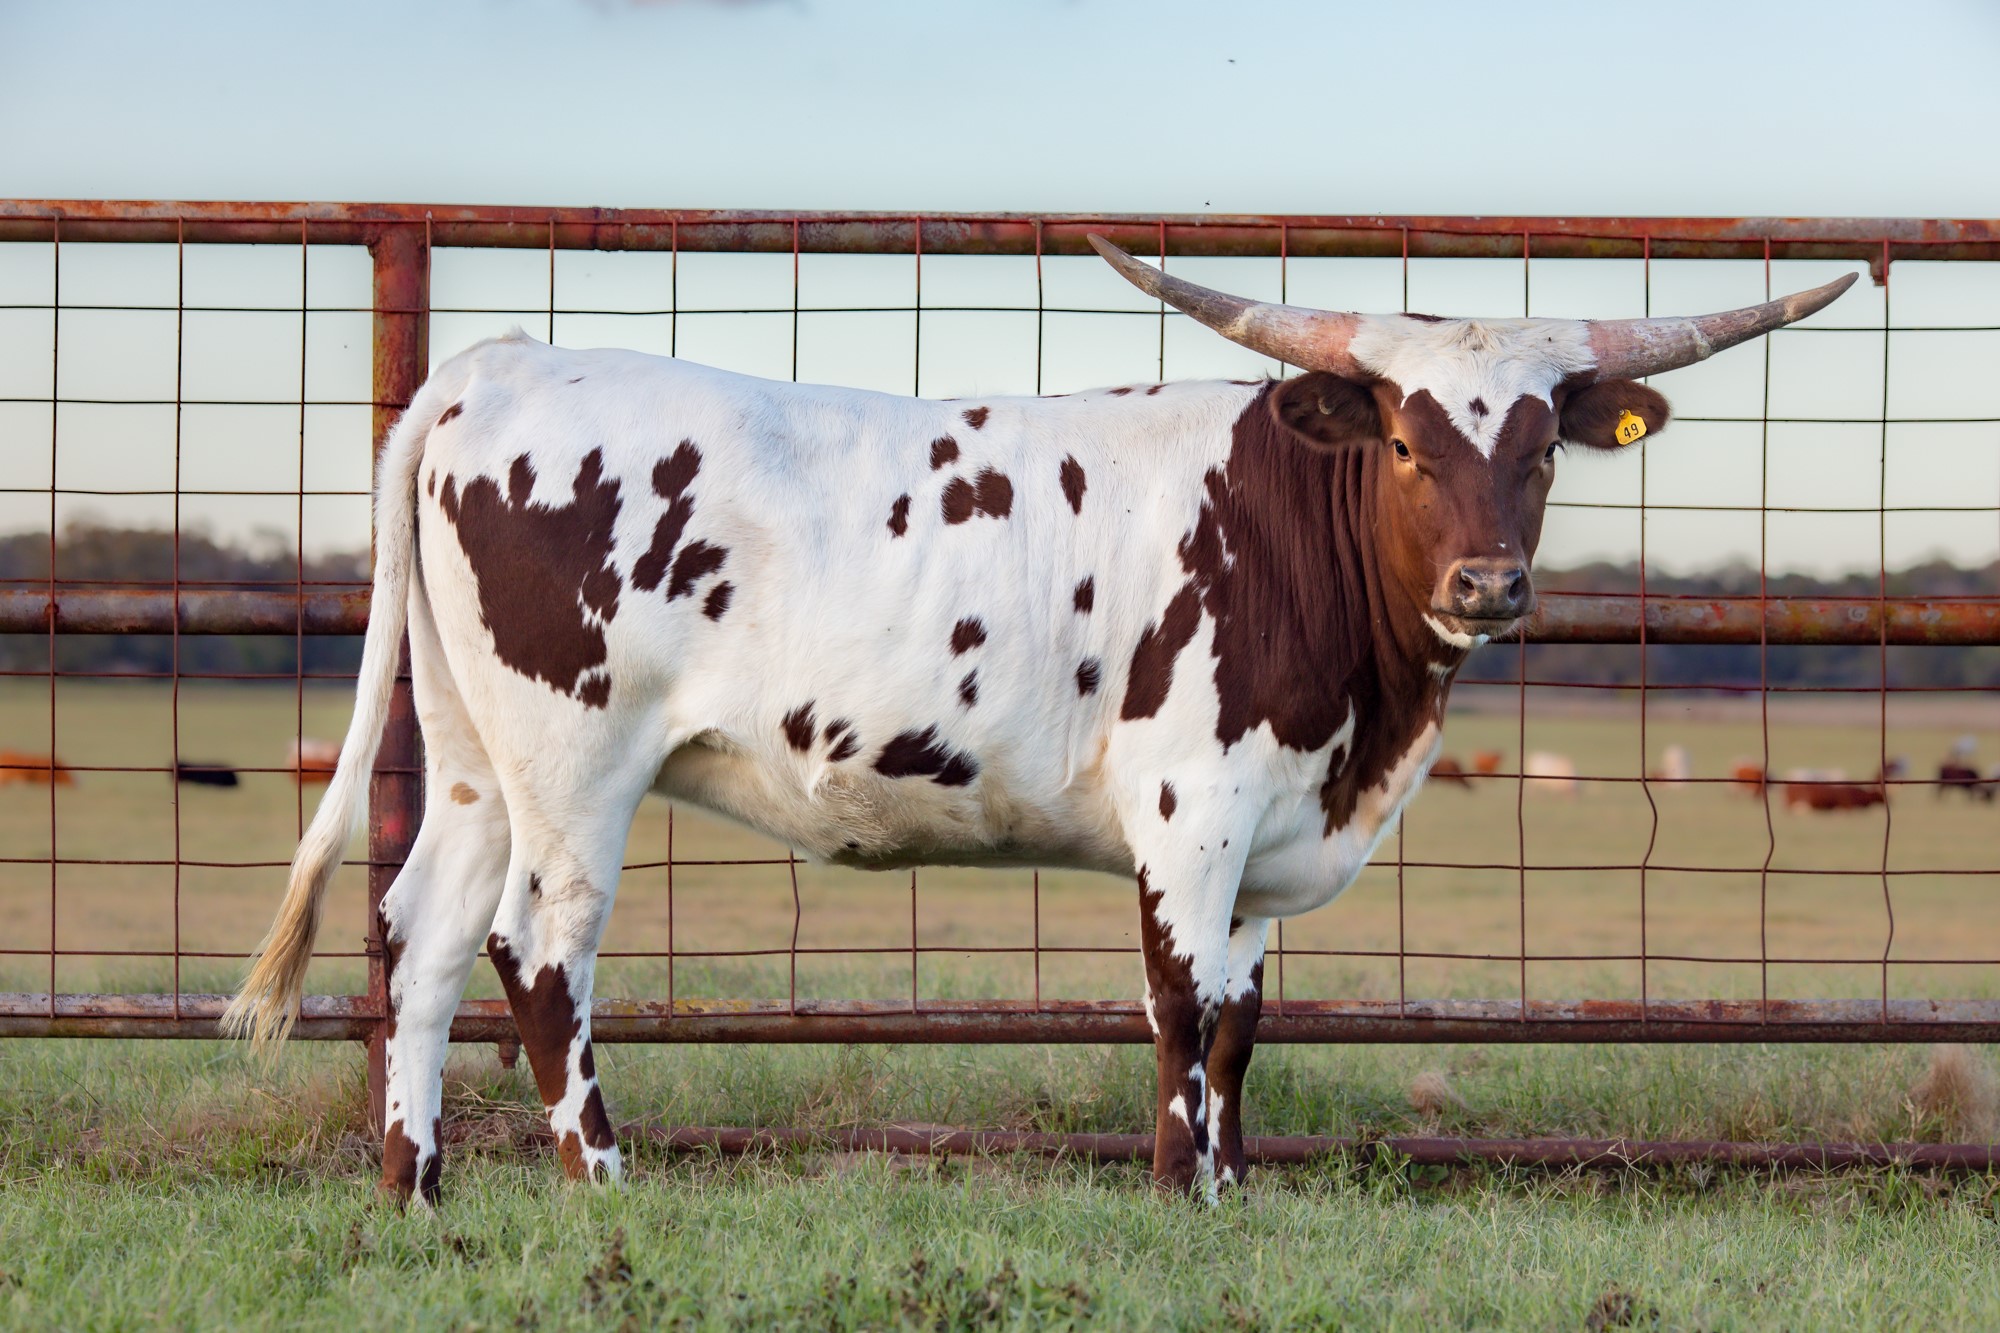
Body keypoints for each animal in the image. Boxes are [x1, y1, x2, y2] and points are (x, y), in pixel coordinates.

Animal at [221, 236, 1852, 1205]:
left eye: (1542, 448)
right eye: (1402, 439)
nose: (1489, 582)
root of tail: (496, 364)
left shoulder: (1268, 833)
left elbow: (1244, 1015)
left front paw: (1236, 1186)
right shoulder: (1192, 814)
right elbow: (1182, 1004)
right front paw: (1181, 1190)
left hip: (474, 756)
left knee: (425, 934)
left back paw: (418, 1186)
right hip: (576, 764)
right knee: (537, 949)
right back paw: (602, 1177)